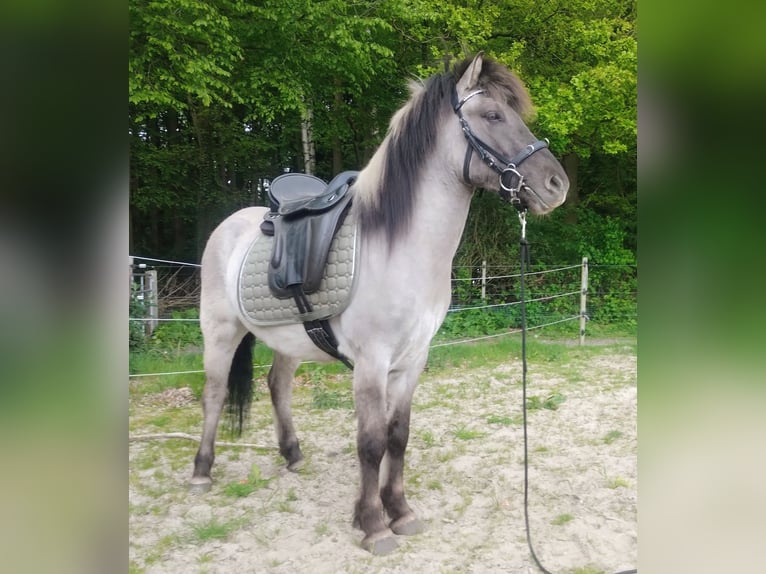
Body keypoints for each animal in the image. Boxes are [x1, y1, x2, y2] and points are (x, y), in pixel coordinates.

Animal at [189, 53, 569, 555]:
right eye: (492, 115)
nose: (556, 184)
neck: (402, 249)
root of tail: (230, 223)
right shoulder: (372, 363)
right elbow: (370, 443)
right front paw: (372, 524)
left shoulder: (411, 361)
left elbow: (397, 437)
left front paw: (400, 512)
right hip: (220, 332)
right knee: (214, 394)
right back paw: (201, 471)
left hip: (289, 341)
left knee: (278, 385)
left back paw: (293, 454)